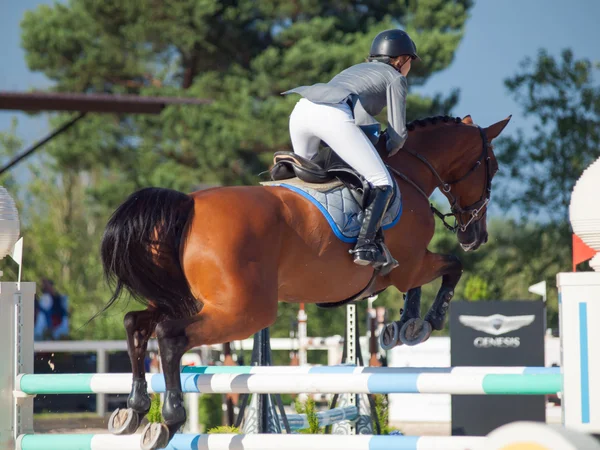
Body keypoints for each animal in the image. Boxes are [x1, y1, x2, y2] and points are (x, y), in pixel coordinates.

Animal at [101, 114, 508, 448]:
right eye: (492, 167)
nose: (476, 236)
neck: (409, 176)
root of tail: (190, 205)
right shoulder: (409, 265)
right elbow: (451, 267)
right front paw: (426, 322)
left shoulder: (406, 268)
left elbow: (424, 282)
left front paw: (405, 326)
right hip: (246, 311)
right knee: (170, 335)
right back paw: (168, 421)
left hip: (189, 298)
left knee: (136, 323)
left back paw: (134, 411)